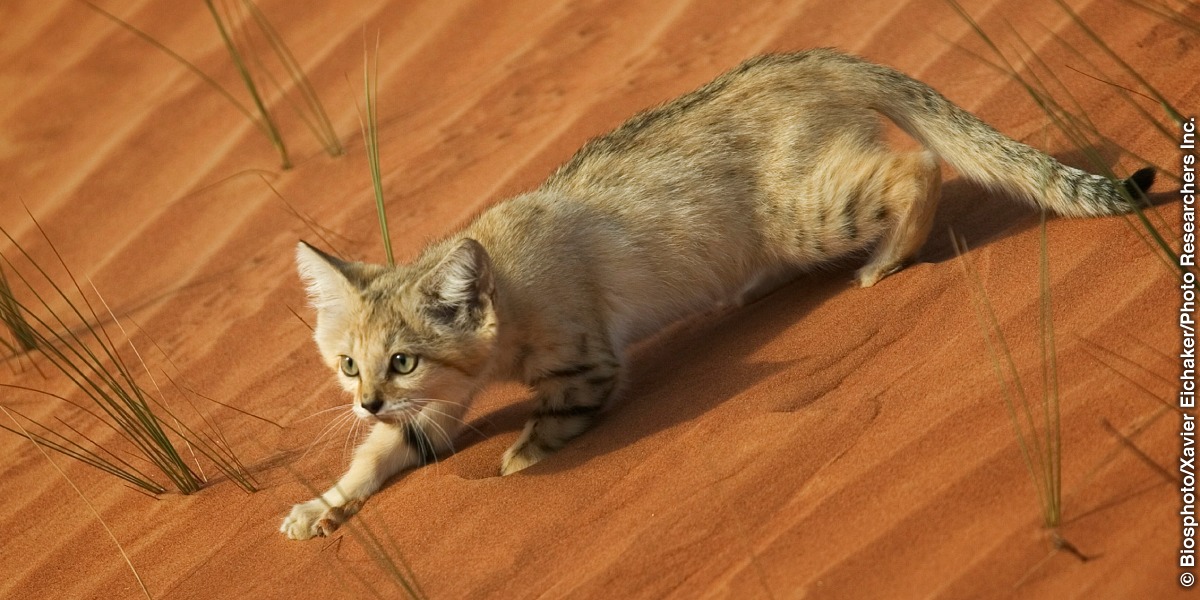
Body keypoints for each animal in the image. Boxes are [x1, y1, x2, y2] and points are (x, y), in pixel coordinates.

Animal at [280, 48, 1152, 540]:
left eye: (402, 360)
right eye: (348, 365)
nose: (363, 400)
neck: (504, 282)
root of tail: (802, 60)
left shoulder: (584, 361)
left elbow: (557, 419)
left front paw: (521, 456)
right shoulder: (431, 412)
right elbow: (380, 454)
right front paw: (321, 505)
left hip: (809, 211)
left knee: (919, 166)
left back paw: (885, 261)